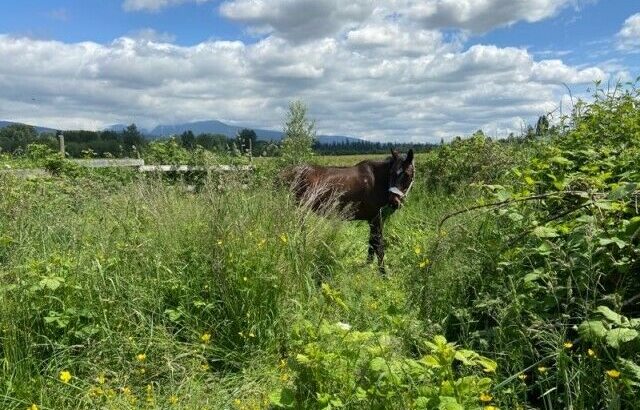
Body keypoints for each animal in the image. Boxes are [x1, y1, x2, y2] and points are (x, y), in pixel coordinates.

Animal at [284, 149, 416, 274]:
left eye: (407, 175)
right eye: (391, 173)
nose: (394, 202)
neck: (377, 181)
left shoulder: (374, 220)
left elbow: (372, 244)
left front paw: (367, 266)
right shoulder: (376, 219)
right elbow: (379, 246)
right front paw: (383, 273)